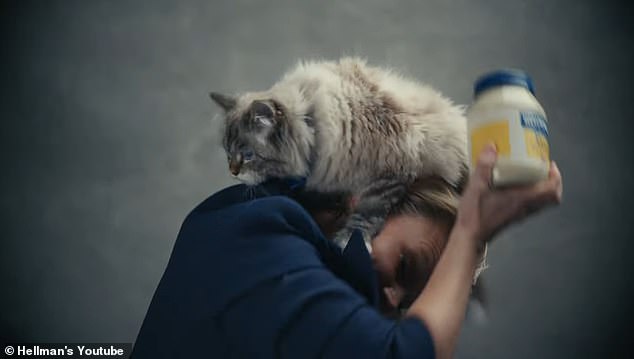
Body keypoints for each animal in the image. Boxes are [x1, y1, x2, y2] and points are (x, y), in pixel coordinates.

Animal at [210, 58, 466, 250]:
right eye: (228, 152)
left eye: (248, 155)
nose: (233, 172)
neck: (313, 123)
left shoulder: (390, 174)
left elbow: (366, 214)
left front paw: (348, 240)